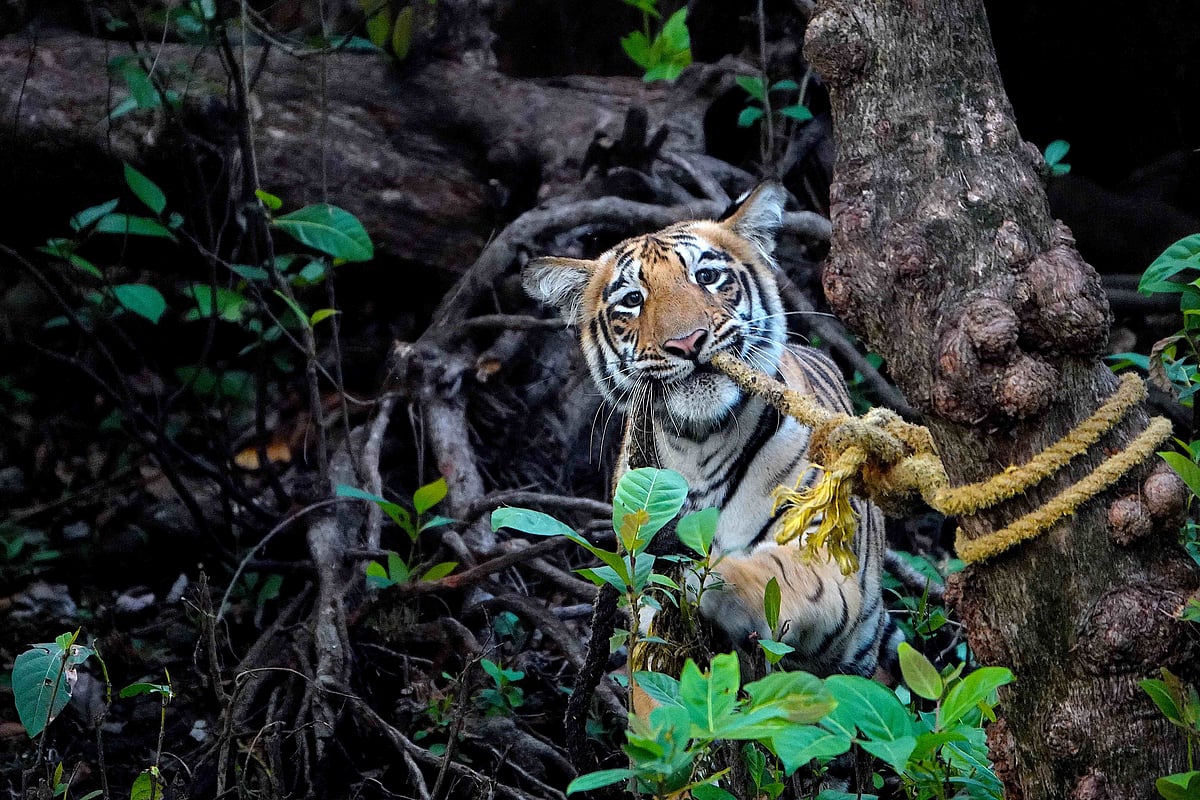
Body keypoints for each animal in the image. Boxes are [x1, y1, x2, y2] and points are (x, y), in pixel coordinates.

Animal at [522, 182, 896, 681]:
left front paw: (717, 582)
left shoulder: (822, 544)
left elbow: (790, 577)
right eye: (633, 300)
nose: (687, 342)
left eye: (707, 276)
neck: (697, 444)